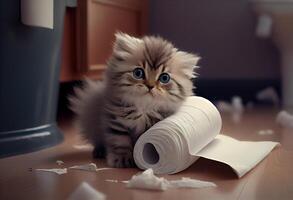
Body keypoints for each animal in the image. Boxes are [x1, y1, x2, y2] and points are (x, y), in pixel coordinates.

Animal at [69, 32, 200, 167]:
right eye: (138, 73)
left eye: (164, 78)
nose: (150, 86)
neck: (144, 107)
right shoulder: (116, 122)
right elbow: (120, 142)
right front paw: (122, 160)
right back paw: (99, 151)